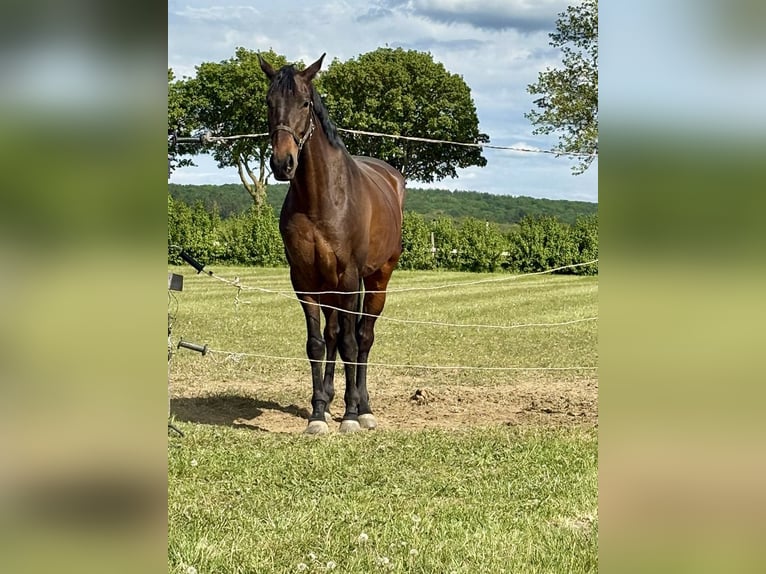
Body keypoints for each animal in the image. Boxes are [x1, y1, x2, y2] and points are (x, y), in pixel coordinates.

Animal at [257, 53, 406, 434]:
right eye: (269, 102)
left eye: (305, 103)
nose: (283, 163)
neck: (321, 198)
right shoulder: (305, 280)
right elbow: (318, 343)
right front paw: (317, 412)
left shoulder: (349, 278)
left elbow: (352, 344)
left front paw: (351, 415)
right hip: (331, 288)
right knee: (334, 335)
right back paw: (330, 397)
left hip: (376, 280)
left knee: (363, 337)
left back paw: (364, 406)